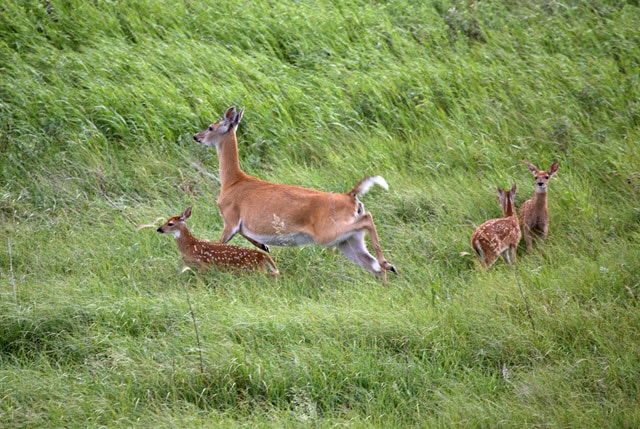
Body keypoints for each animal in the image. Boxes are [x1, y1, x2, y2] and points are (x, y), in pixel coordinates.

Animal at [192, 106, 398, 280]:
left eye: (210, 127)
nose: (196, 136)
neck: (232, 182)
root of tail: (351, 197)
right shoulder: (240, 224)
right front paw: (264, 245)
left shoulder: (230, 218)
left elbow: (218, 244)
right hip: (348, 242)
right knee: (372, 265)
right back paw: (387, 273)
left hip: (328, 232)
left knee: (368, 220)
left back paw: (388, 264)